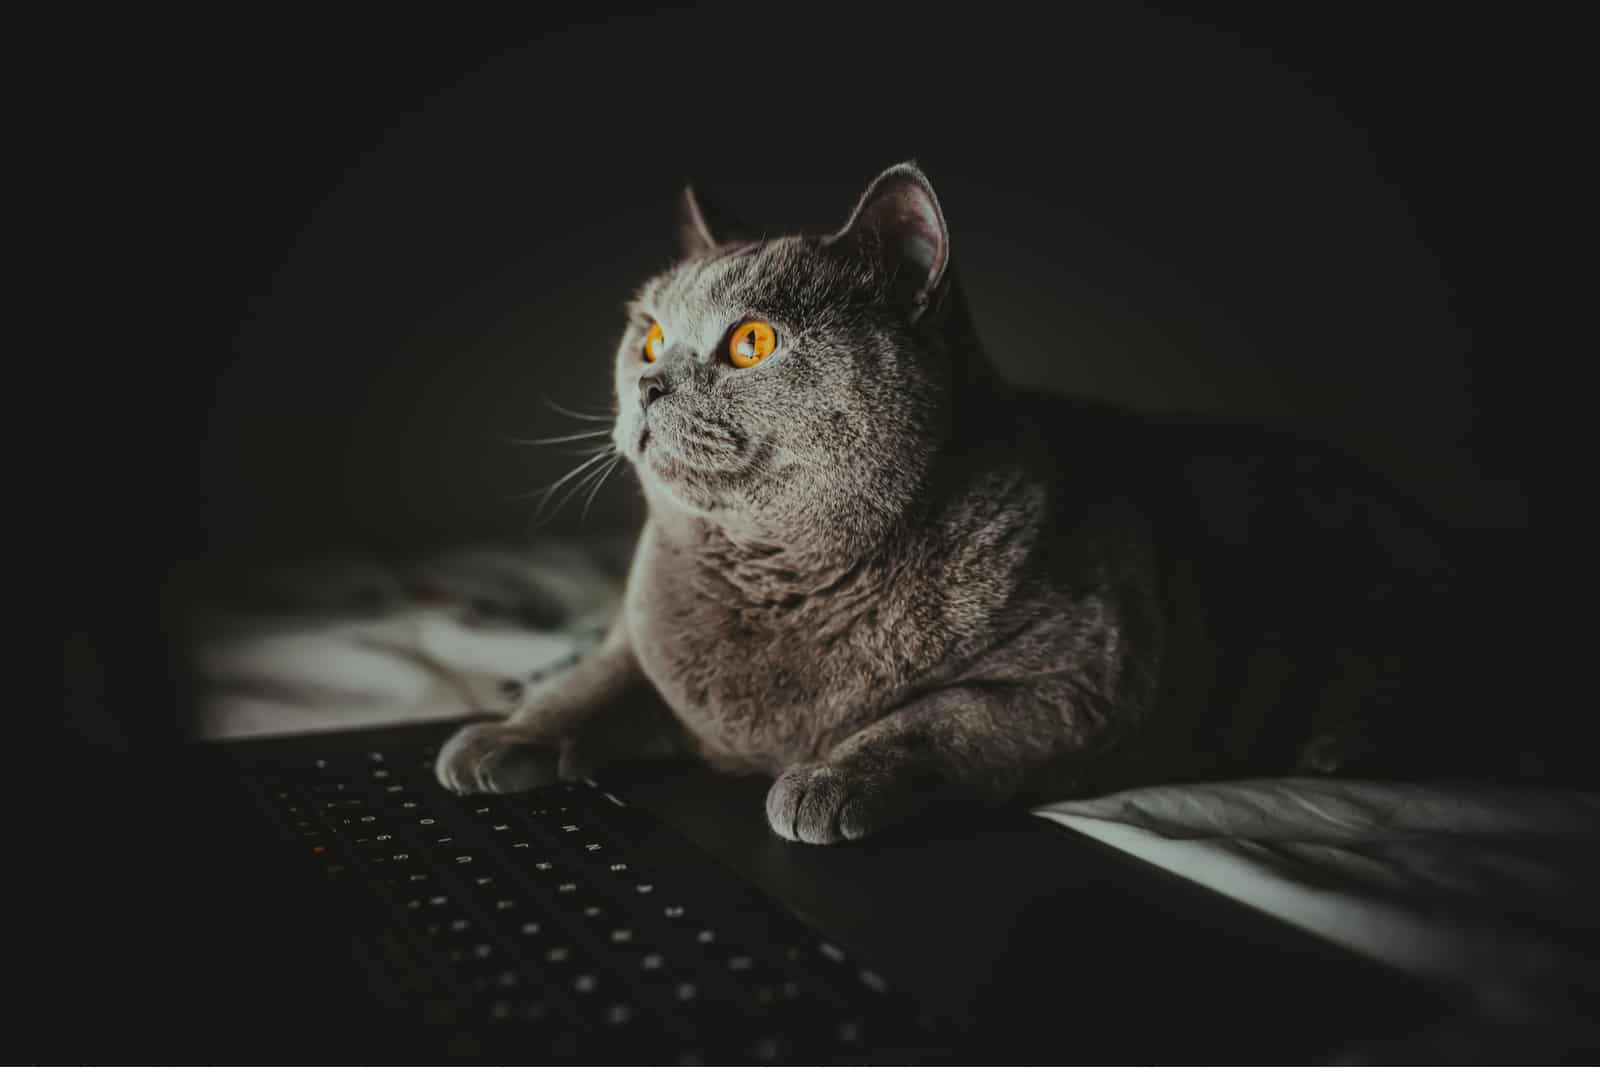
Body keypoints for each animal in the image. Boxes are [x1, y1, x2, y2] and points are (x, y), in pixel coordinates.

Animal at [435, 160, 1472, 844]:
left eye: (750, 343)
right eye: (648, 338)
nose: (649, 386)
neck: (780, 580)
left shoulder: (1080, 681)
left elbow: (930, 720)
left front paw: (825, 780)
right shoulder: (642, 643)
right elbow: (595, 679)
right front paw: (504, 735)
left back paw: (1341, 745)